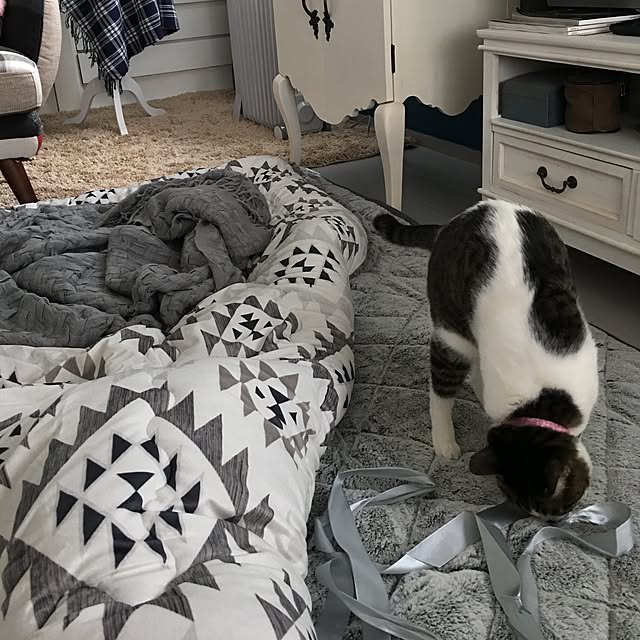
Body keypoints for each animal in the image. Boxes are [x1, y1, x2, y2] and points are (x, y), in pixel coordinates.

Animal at [374, 200, 598, 519]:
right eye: (561, 508)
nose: (547, 521)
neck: (542, 402)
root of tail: (457, 220)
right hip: (452, 329)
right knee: (441, 389)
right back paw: (445, 440)